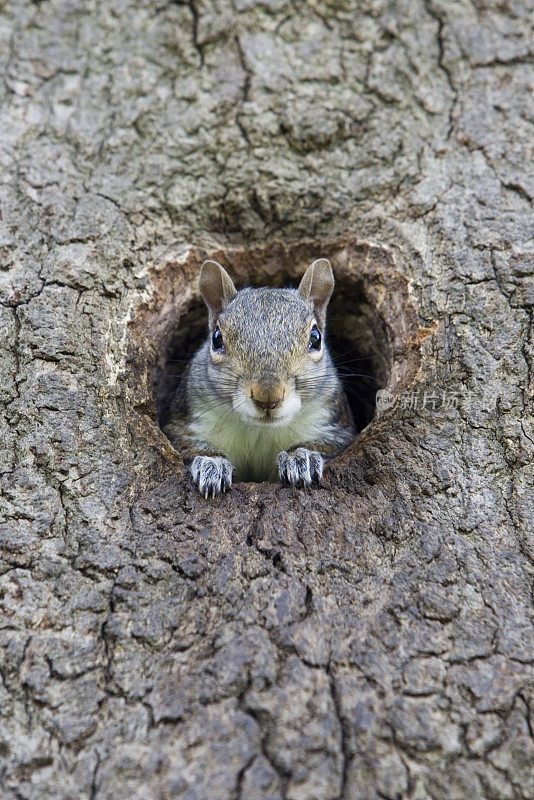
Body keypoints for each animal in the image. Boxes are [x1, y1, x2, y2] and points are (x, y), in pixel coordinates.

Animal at [163, 258, 356, 494]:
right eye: (217, 339)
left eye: (316, 338)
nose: (268, 397)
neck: (260, 431)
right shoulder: (185, 423)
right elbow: (188, 446)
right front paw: (212, 463)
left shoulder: (335, 423)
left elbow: (329, 443)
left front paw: (301, 458)